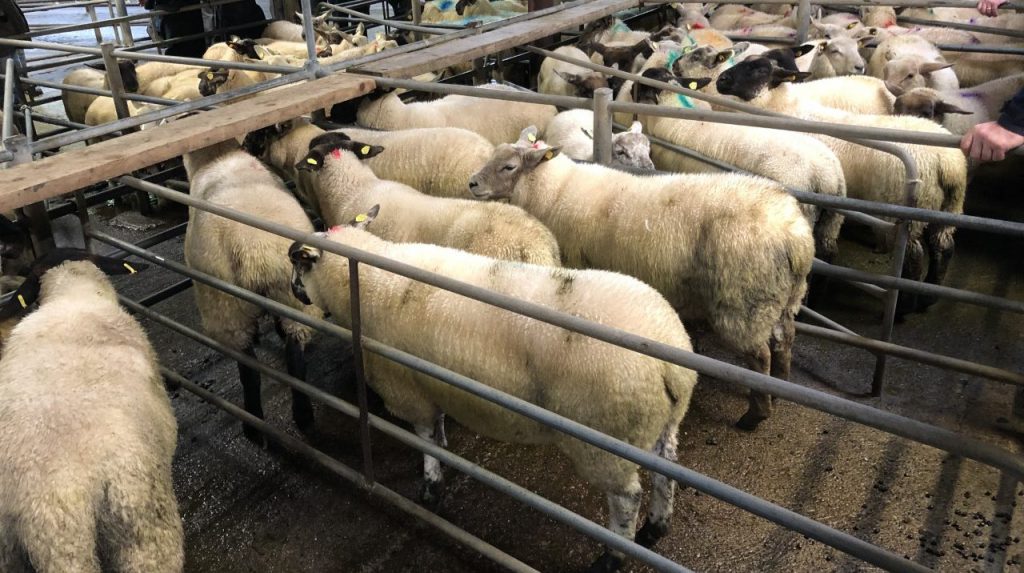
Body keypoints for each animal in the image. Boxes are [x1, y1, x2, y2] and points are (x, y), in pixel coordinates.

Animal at [183, 139, 324, 440]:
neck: (218, 156)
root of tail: (253, 249)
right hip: (292, 297)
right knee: (295, 358)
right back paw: (303, 415)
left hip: (224, 305)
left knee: (248, 369)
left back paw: (254, 424)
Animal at [287, 207, 697, 571]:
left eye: (298, 266)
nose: (294, 292)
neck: (369, 280)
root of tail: (669, 357)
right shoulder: (431, 383)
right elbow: (437, 430)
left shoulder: (407, 389)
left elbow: (425, 439)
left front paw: (430, 487)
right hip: (661, 423)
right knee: (666, 472)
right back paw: (655, 528)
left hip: (606, 440)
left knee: (627, 498)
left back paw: (613, 557)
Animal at [468, 128, 815, 431]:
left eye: (509, 166)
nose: (472, 183)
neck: (553, 191)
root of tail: (795, 236)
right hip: (783, 297)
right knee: (785, 339)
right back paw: (779, 388)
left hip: (742, 303)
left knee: (760, 357)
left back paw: (755, 415)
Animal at [717, 57, 968, 312]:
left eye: (760, 70)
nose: (720, 80)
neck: (783, 107)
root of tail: (948, 162)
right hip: (948, 205)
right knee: (943, 246)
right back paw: (927, 299)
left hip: (908, 214)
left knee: (915, 257)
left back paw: (904, 308)